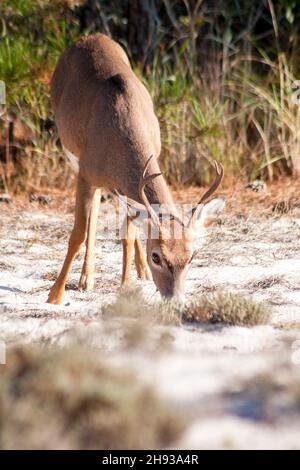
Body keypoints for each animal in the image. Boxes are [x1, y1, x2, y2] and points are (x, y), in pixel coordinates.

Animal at [47, 33, 225, 304]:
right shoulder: (86, 174)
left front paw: (126, 286)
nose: (176, 301)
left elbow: (128, 236)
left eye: (191, 256)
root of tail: (89, 37)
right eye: (157, 256)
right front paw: (54, 296)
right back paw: (86, 279)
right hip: (76, 160)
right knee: (93, 215)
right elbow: (78, 234)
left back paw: (135, 272)